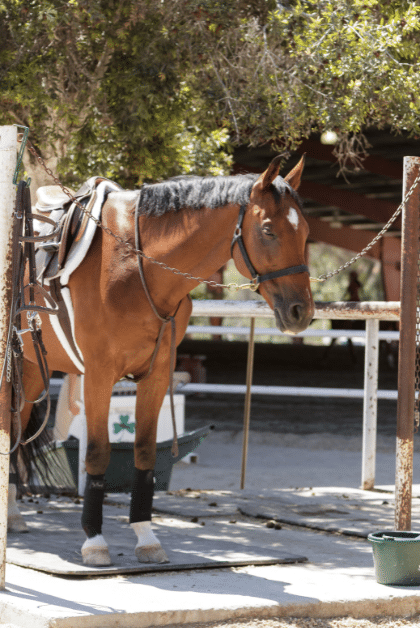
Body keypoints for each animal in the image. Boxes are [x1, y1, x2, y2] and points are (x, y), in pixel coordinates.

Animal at [9, 156, 314, 564]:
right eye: (268, 230)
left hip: (30, 369)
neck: (137, 266)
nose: (301, 312)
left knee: (15, 426)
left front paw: (146, 537)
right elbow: (98, 454)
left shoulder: (155, 375)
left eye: (306, 230)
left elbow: (144, 451)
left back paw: (12, 514)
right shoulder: (99, 375)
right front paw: (95, 540)